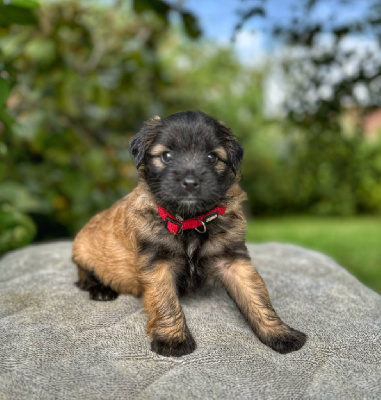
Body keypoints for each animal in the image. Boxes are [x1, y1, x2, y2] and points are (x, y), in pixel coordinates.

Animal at [73, 109, 306, 356]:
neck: (191, 221)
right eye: (166, 156)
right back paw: (100, 289)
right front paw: (173, 339)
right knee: (83, 274)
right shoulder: (157, 264)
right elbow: (165, 302)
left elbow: (256, 297)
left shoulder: (233, 260)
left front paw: (279, 333)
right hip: (83, 250)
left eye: (212, 157)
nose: (191, 183)